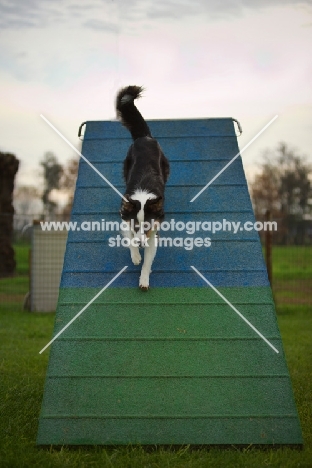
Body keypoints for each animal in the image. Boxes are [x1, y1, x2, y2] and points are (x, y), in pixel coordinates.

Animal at [116, 84, 169, 288]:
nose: (141, 244)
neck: (143, 197)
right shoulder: (125, 217)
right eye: (136, 225)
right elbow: (129, 239)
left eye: (146, 226)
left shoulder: (153, 232)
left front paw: (144, 279)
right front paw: (136, 256)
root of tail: (145, 137)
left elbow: (148, 260)